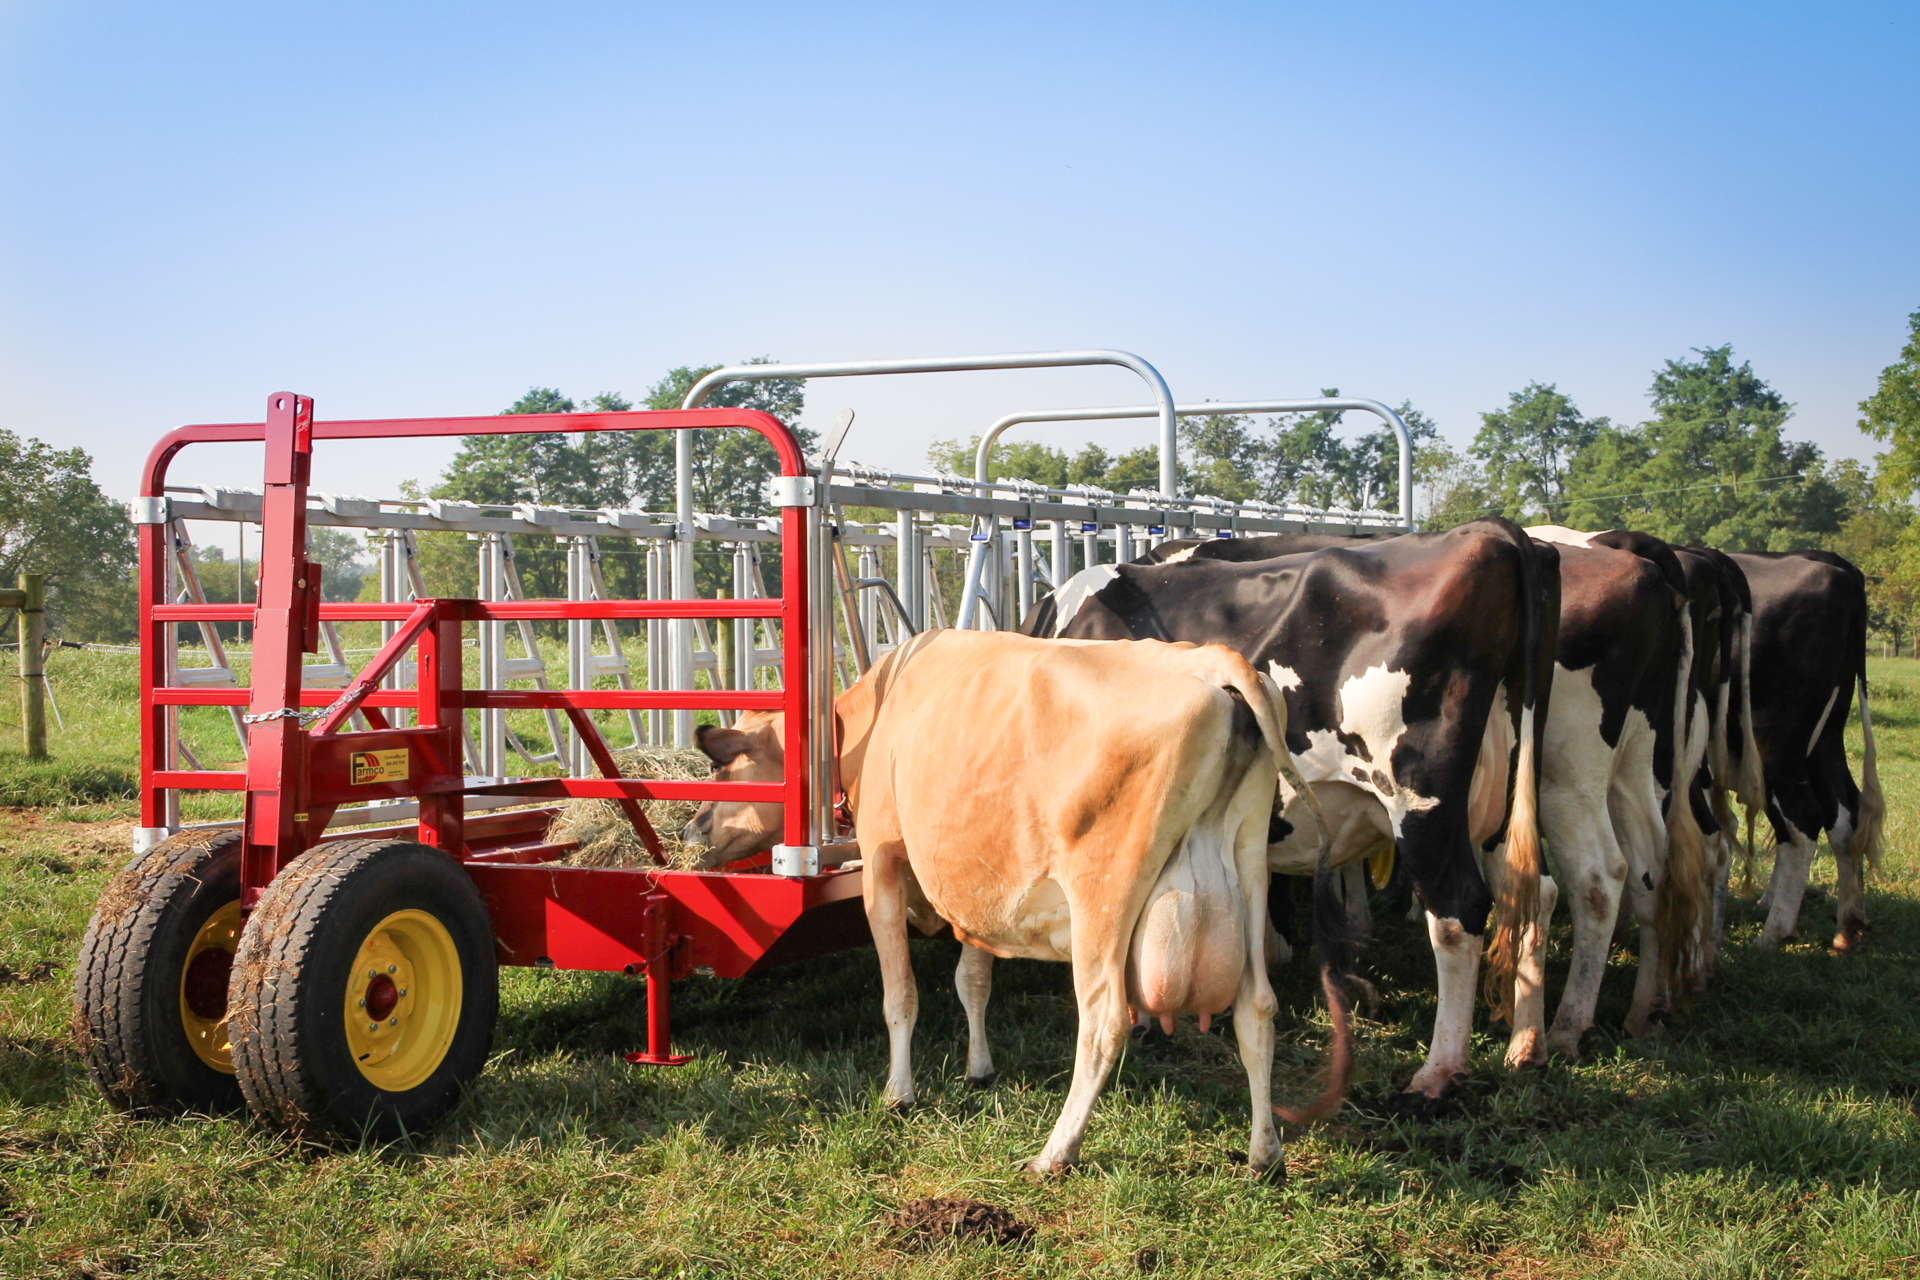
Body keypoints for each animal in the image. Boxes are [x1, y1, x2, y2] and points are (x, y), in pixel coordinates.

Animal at [687, 629, 1336, 1182]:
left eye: (723, 766)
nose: (693, 828)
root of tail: (1211, 659)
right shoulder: (980, 891)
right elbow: (972, 980)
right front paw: (979, 1068)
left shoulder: (882, 865)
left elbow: (900, 995)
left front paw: (898, 1094)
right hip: (1248, 868)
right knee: (1257, 1009)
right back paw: (1264, 1156)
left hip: (1103, 894)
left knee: (1104, 1022)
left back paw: (1055, 1153)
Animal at [1029, 514, 1551, 1097]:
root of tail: (1488, 532)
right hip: (1509, 794)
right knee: (1530, 892)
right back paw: (1527, 1045)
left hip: (1420, 798)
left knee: (1459, 910)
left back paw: (1436, 1074)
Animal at [1735, 552, 1881, 951]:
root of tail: (1842, 571)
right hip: (1826, 736)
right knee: (1845, 814)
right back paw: (1848, 927)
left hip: (1773, 740)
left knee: (1803, 819)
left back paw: (1773, 933)